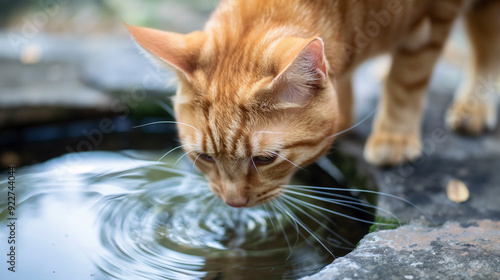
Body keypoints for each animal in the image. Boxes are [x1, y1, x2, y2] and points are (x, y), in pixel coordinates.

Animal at [126, 0, 500, 208]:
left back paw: (474, 106)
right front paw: (343, 113)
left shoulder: (435, 19)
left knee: (485, 41)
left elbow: (407, 79)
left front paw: (394, 137)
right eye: (204, 157)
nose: (233, 203)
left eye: (265, 159)